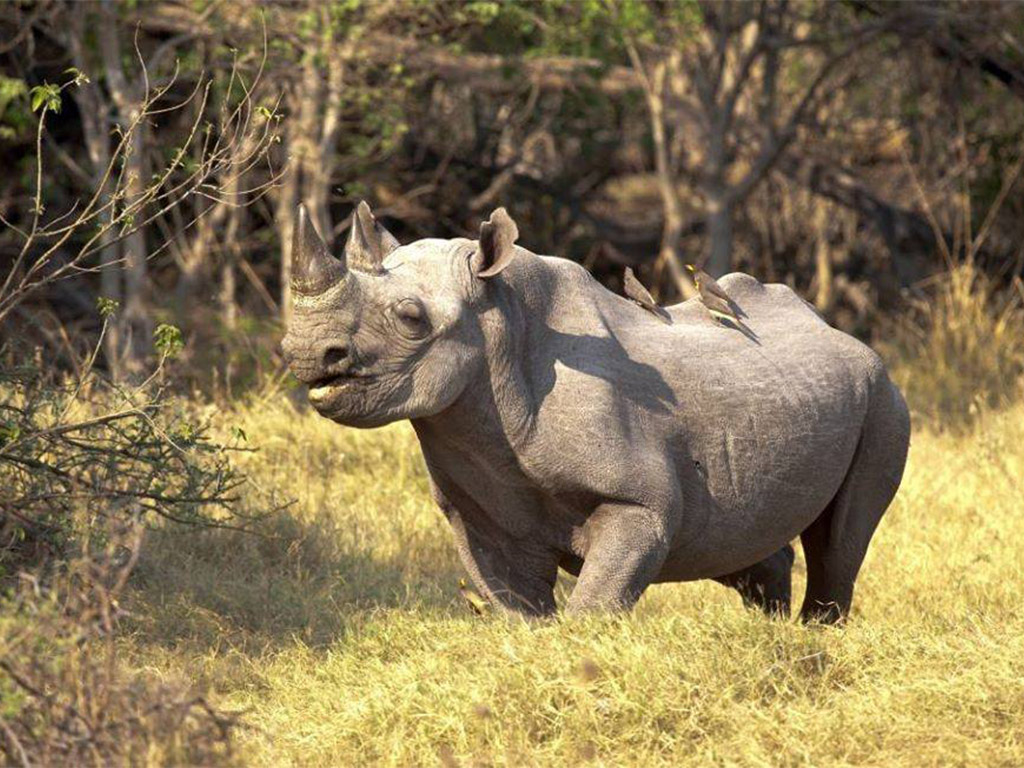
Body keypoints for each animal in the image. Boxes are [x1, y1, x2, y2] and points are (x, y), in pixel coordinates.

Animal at [281, 202, 910, 623]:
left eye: (411, 318)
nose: (305, 352)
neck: (500, 330)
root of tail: (838, 330)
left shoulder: (639, 503)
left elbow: (593, 607)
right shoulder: (478, 511)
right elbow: (518, 611)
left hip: (883, 396)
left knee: (840, 544)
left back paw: (814, 634)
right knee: (744, 543)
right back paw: (768, 631)